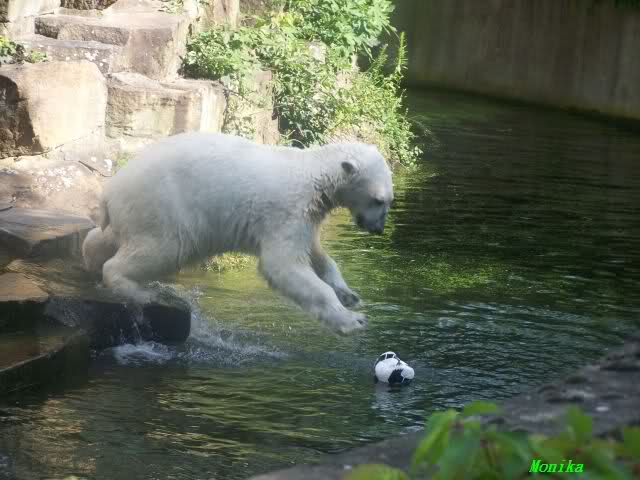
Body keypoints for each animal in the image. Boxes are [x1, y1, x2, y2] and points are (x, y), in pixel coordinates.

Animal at [82, 132, 394, 334]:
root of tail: (110, 191)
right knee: (160, 250)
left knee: (109, 237)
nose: (377, 228)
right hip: (165, 209)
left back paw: (91, 258)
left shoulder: (309, 214)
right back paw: (137, 290)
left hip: (135, 214)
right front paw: (353, 320)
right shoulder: (286, 210)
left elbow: (317, 253)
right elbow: (283, 266)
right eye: (378, 200)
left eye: (389, 200)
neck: (314, 174)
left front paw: (349, 295)